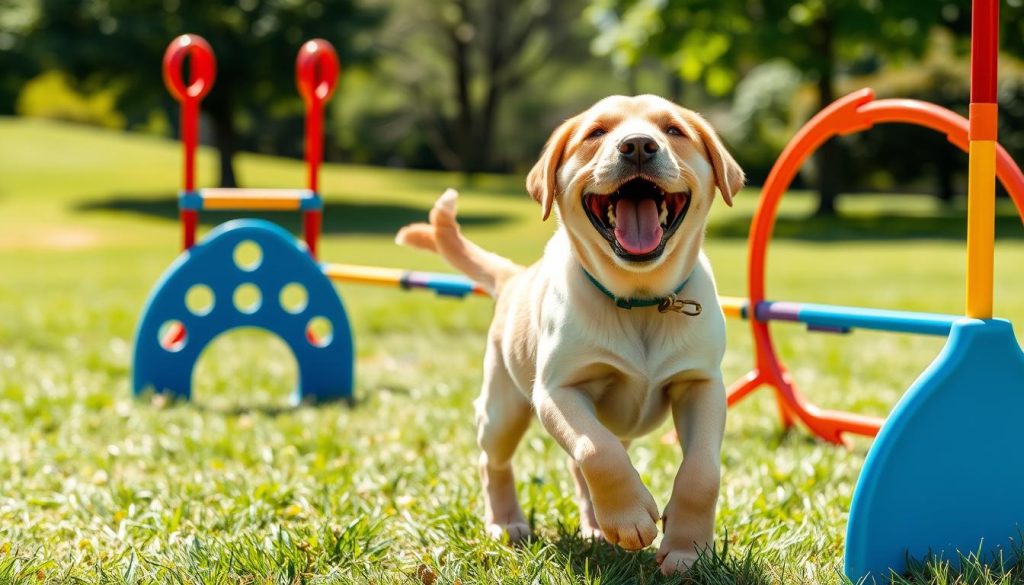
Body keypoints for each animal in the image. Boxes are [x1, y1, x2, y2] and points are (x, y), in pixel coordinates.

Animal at [395, 93, 741, 573]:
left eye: (674, 130)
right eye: (596, 132)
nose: (638, 145)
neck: (640, 302)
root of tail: (515, 277)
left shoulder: (701, 384)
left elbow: (702, 470)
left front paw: (687, 551)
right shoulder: (558, 389)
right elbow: (597, 452)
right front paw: (630, 518)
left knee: (582, 465)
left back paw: (596, 525)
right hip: (502, 408)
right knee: (495, 460)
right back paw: (508, 522)